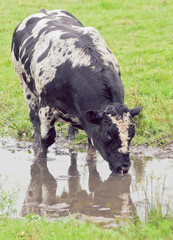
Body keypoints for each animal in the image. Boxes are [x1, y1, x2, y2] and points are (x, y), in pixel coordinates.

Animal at [11, 9, 143, 173]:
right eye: (107, 134)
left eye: (132, 135)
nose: (123, 166)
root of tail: (43, 11)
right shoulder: (46, 108)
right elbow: (47, 140)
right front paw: (39, 160)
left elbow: (91, 145)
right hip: (26, 86)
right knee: (33, 117)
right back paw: (35, 142)